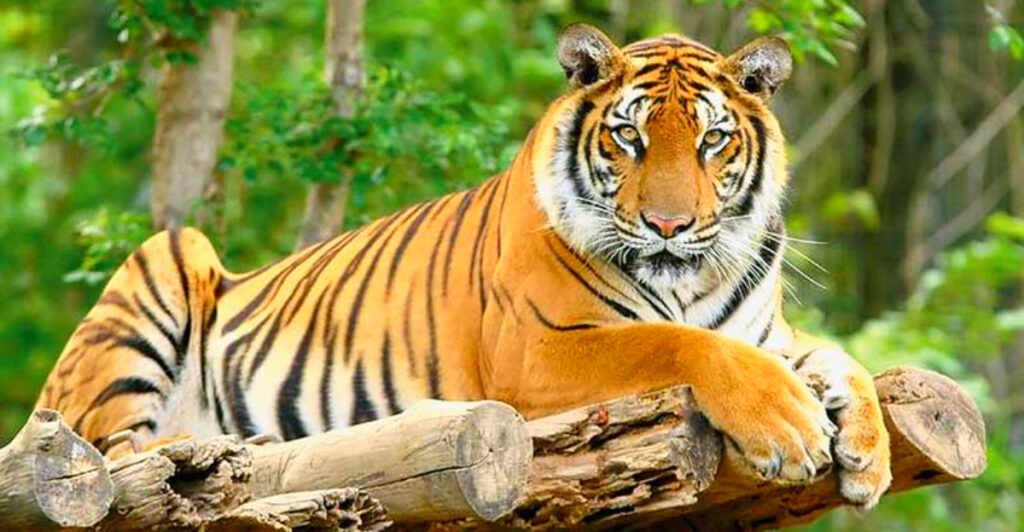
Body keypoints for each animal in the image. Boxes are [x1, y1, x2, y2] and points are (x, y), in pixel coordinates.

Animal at [36, 24, 891, 507]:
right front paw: (790, 429)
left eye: (713, 140)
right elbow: (678, 343)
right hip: (166, 262)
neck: (692, 279)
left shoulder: (767, 333)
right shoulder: (538, 351)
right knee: (111, 451)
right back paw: (218, 449)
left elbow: (840, 359)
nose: (669, 225)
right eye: (630, 137)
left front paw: (869, 451)